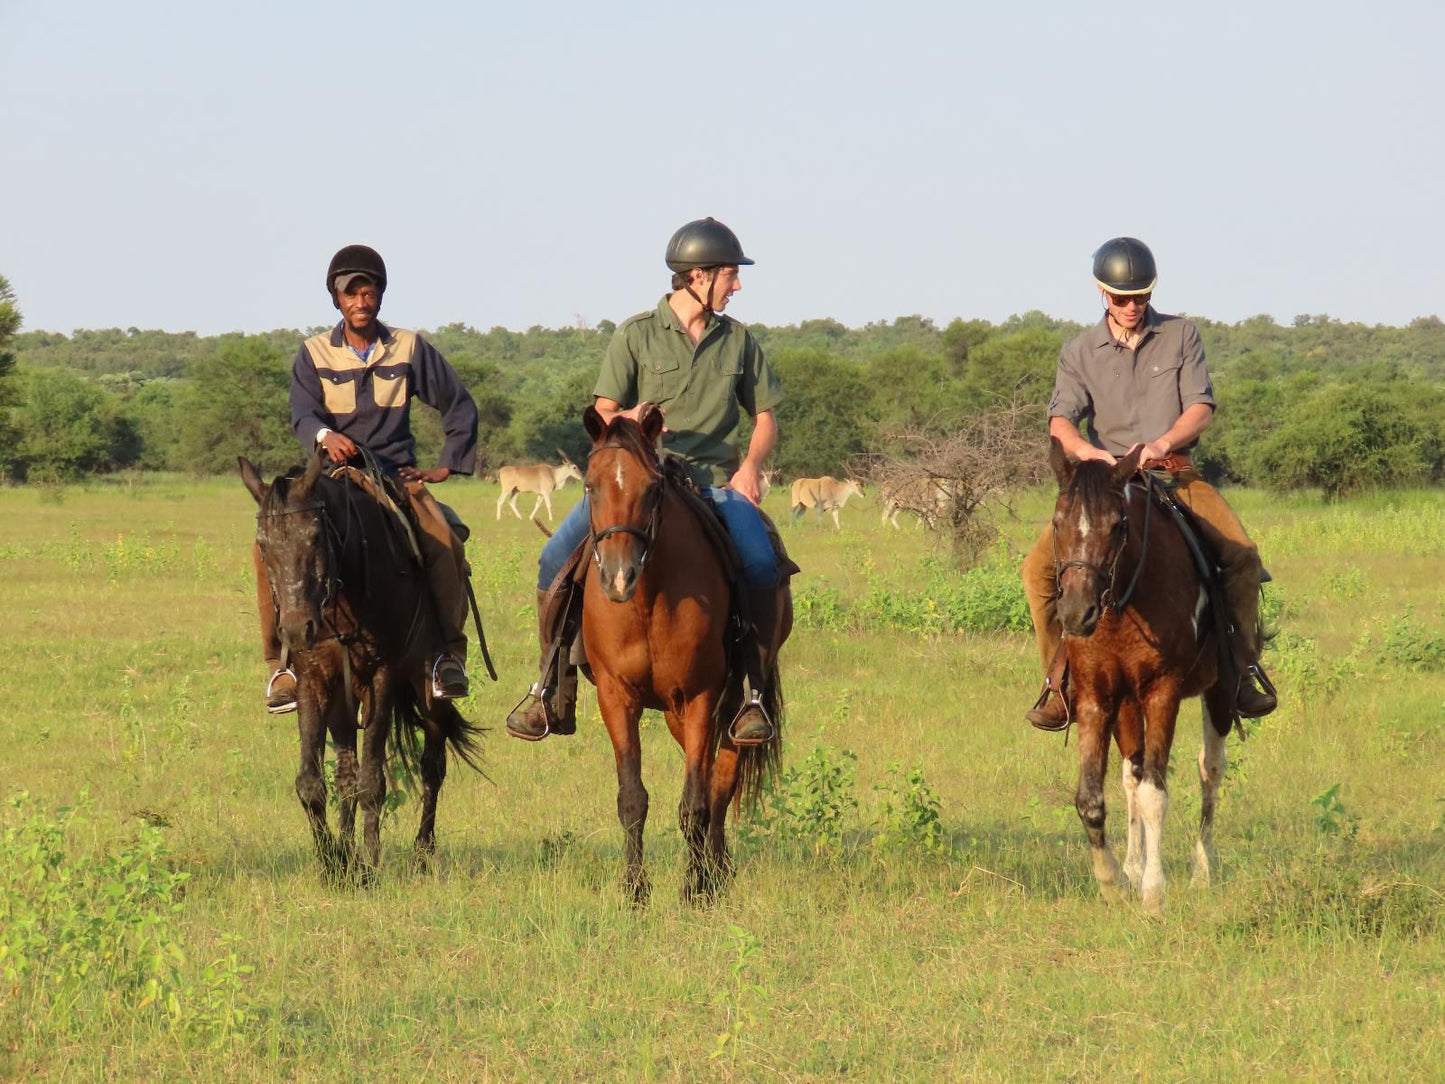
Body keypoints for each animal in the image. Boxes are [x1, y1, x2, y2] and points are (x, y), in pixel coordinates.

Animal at [239, 450, 482, 884]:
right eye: (263, 546)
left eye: (315, 536)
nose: (296, 629)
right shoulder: (315, 680)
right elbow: (313, 782)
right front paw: (335, 864)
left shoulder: (382, 676)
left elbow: (373, 781)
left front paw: (369, 865)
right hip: (343, 700)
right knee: (346, 773)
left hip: (427, 689)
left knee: (432, 766)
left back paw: (422, 854)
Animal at [578, 404, 791, 901]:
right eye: (590, 485)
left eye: (652, 487)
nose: (619, 576)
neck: (648, 599)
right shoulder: (616, 697)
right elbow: (632, 798)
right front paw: (635, 890)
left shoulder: (700, 697)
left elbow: (696, 801)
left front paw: (696, 889)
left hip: (730, 708)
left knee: (720, 783)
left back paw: (716, 871)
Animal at [1046, 436, 1236, 913]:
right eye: (1057, 523)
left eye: (1118, 525)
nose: (1076, 614)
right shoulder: (1096, 695)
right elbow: (1091, 798)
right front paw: (1113, 881)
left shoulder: (1162, 693)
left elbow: (1156, 793)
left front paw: (1153, 891)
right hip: (1127, 704)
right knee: (1130, 777)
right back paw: (1132, 866)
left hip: (1219, 693)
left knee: (1210, 771)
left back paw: (1202, 870)